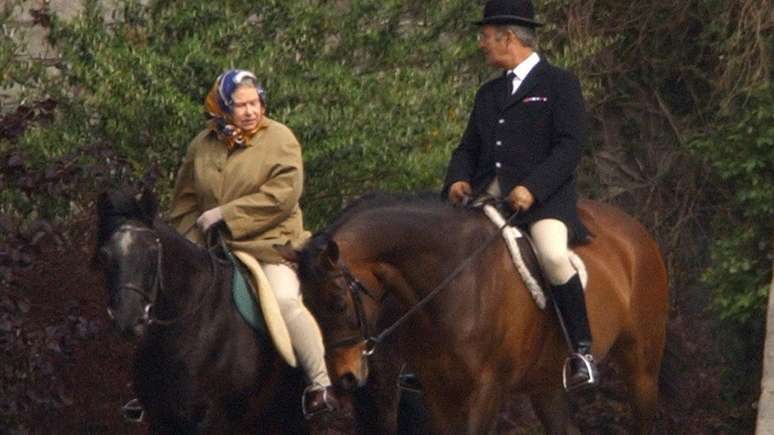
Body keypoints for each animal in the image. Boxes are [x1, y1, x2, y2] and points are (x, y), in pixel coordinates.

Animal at [280, 195, 672, 435]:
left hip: (641, 365)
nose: (344, 378)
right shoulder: (438, 392)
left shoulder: (487, 389)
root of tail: (636, 231)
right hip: (546, 383)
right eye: (306, 306)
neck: (453, 283)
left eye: (338, 301)